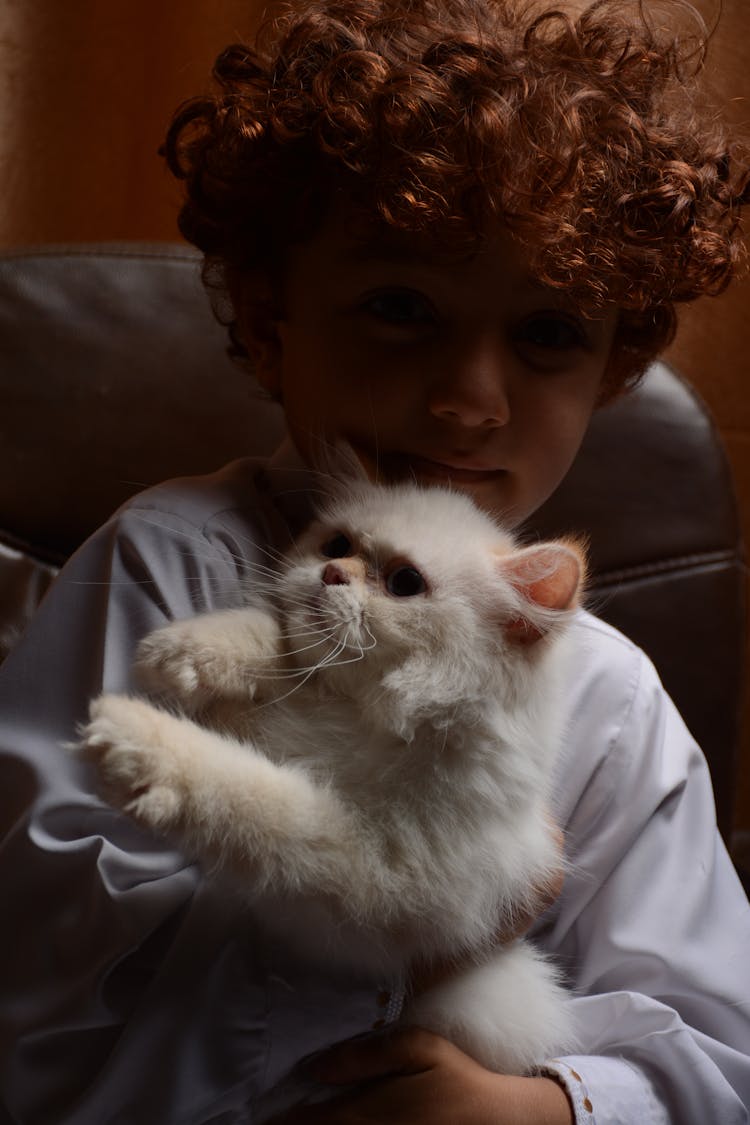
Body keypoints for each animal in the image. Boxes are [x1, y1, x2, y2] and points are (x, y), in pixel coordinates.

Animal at [80, 479, 584, 1075]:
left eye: (405, 583)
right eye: (336, 545)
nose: (332, 573)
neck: (359, 716)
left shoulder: (374, 879)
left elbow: (254, 798)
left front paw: (136, 744)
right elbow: (277, 641)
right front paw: (181, 652)